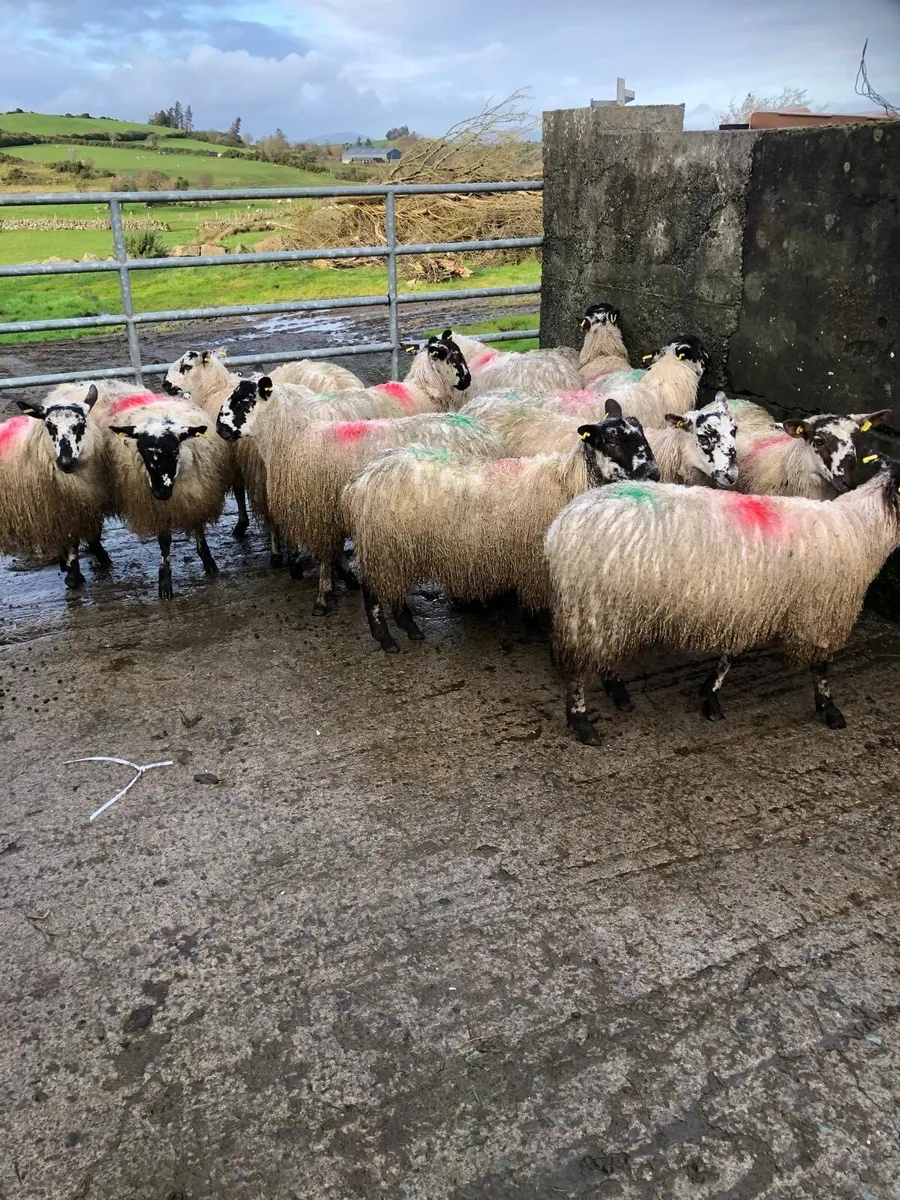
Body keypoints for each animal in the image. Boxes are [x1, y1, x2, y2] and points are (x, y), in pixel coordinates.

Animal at [0, 385, 111, 589]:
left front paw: (102, 559)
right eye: (50, 427)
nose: (66, 463)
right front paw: (74, 575)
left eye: (80, 426)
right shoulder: (62, 511)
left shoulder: (84, 505)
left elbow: (93, 536)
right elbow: (72, 541)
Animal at [95, 393, 230, 599]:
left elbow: (199, 528)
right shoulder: (158, 508)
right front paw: (165, 583)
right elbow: (164, 542)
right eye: (141, 452)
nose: (160, 492)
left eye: (174, 451)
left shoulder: (196, 496)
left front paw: (209, 563)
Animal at [218, 400, 508, 615]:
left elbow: (325, 556)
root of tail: (487, 436)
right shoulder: (332, 509)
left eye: (243, 399)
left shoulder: (320, 512)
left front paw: (322, 597)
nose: (219, 429)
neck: (289, 440)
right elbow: (335, 551)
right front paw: (347, 578)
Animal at [343, 400, 659, 652]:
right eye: (612, 442)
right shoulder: (536, 564)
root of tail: (363, 477)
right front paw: (535, 630)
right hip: (382, 544)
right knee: (371, 591)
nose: (654, 474)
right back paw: (386, 638)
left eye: (642, 433)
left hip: (395, 548)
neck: (569, 484)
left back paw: (410, 628)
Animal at [544, 458, 900, 746]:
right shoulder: (820, 612)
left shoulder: (750, 604)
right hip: (592, 601)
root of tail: (561, 524)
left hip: (605, 606)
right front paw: (830, 709)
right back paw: (582, 722)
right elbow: (821, 666)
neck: (862, 528)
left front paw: (710, 696)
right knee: (576, 668)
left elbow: (730, 656)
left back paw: (616, 692)